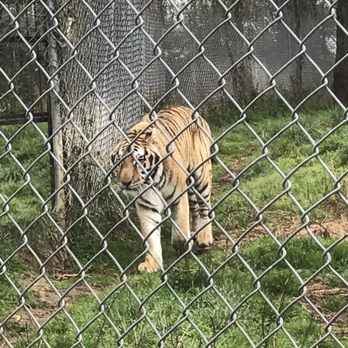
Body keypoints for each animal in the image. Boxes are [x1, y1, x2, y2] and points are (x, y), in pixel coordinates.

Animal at [111, 106, 213, 272]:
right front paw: (151, 264)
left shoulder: (179, 197)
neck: (152, 180)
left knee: (205, 206)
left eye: (138, 160)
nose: (125, 182)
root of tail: (187, 108)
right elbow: (151, 237)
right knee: (196, 209)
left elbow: (180, 231)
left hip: (201, 175)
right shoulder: (146, 205)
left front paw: (182, 248)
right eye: (119, 161)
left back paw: (204, 238)